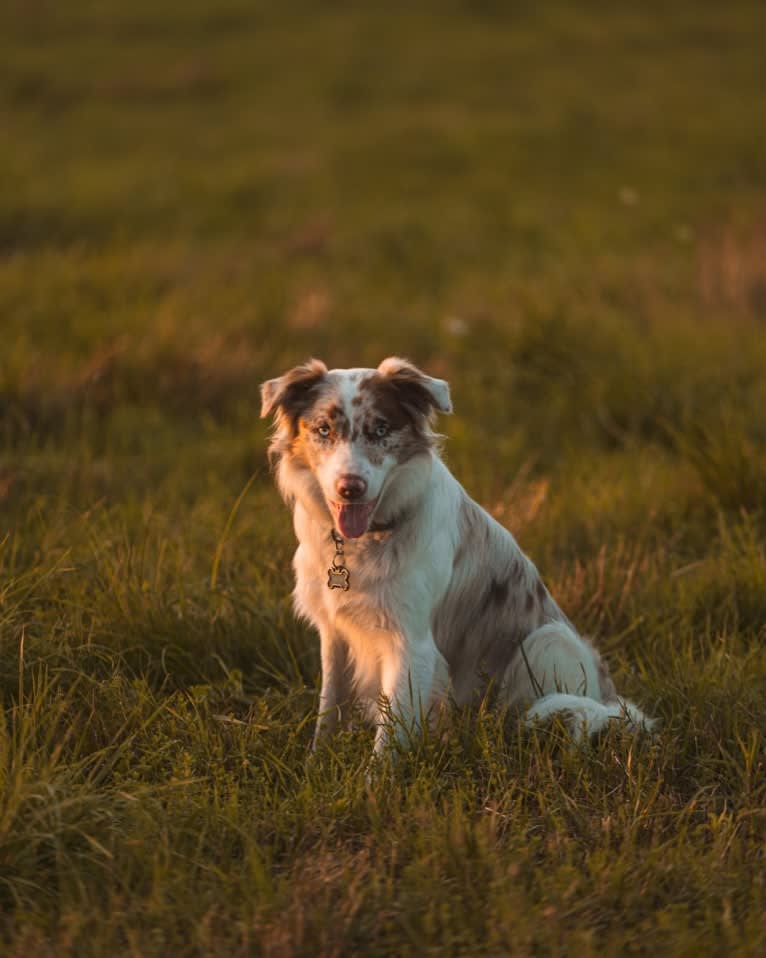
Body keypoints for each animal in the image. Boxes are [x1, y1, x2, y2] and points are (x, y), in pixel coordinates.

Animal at [260, 356, 656, 752]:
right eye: (323, 430)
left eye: (380, 429)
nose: (350, 488)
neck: (366, 538)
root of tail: (609, 697)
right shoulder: (335, 634)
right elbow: (328, 711)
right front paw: (316, 761)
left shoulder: (412, 643)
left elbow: (389, 736)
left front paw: (377, 771)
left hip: (549, 640)